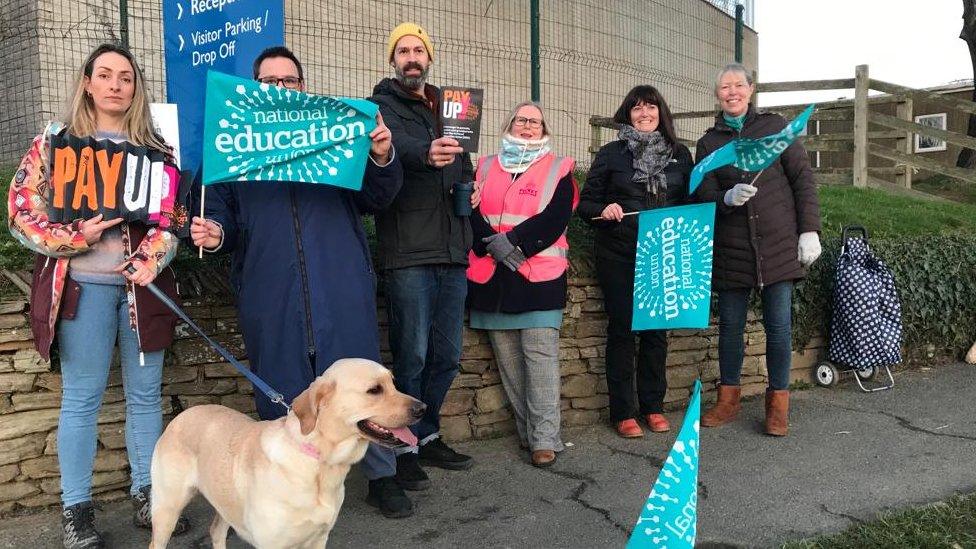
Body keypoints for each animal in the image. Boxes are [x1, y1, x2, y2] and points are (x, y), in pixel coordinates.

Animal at [147, 358, 422, 548]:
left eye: (393, 384)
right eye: (374, 390)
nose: (423, 408)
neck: (320, 463)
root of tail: (182, 413)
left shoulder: (319, 539)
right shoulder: (273, 544)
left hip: (224, 502)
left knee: (216, 531)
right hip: (167, 508)